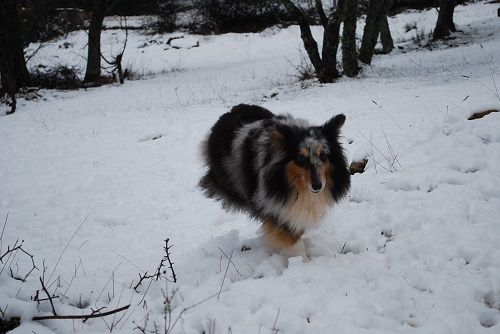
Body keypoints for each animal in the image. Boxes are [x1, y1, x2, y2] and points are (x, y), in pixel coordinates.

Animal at [197, 103, 350, 258]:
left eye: (323, 156)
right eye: (300, 159)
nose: (317, 186)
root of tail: (232, 110)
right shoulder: (274, 207)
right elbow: (292, 239)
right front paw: (301, 261)